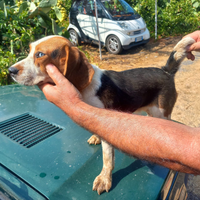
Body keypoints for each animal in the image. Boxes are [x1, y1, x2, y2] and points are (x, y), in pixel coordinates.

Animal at [9, 35, 195, 195]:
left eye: (40, 55)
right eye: (29, 50)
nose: (9, 70)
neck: (86, 88)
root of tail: (165, 71)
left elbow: (107, 159)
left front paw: (104, 180)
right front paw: (96, 137)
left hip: (162, 112)